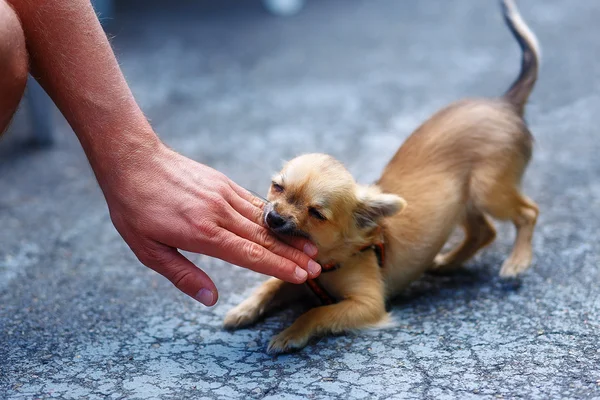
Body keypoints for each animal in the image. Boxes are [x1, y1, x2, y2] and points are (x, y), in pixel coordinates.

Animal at [224, 0, 540, 354]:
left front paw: (290, 333)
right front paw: (244, 308)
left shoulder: (366, 304)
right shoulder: (299, 277)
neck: (330, 259)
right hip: (464, 198)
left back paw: (517, 262)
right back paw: (446, 262)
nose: (274, 217)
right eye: (277, 187)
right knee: (483, 231)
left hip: (489, 191)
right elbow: (272, 284)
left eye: (316, 214)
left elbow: (316, 312)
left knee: (528, 213)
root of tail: (505, 103)